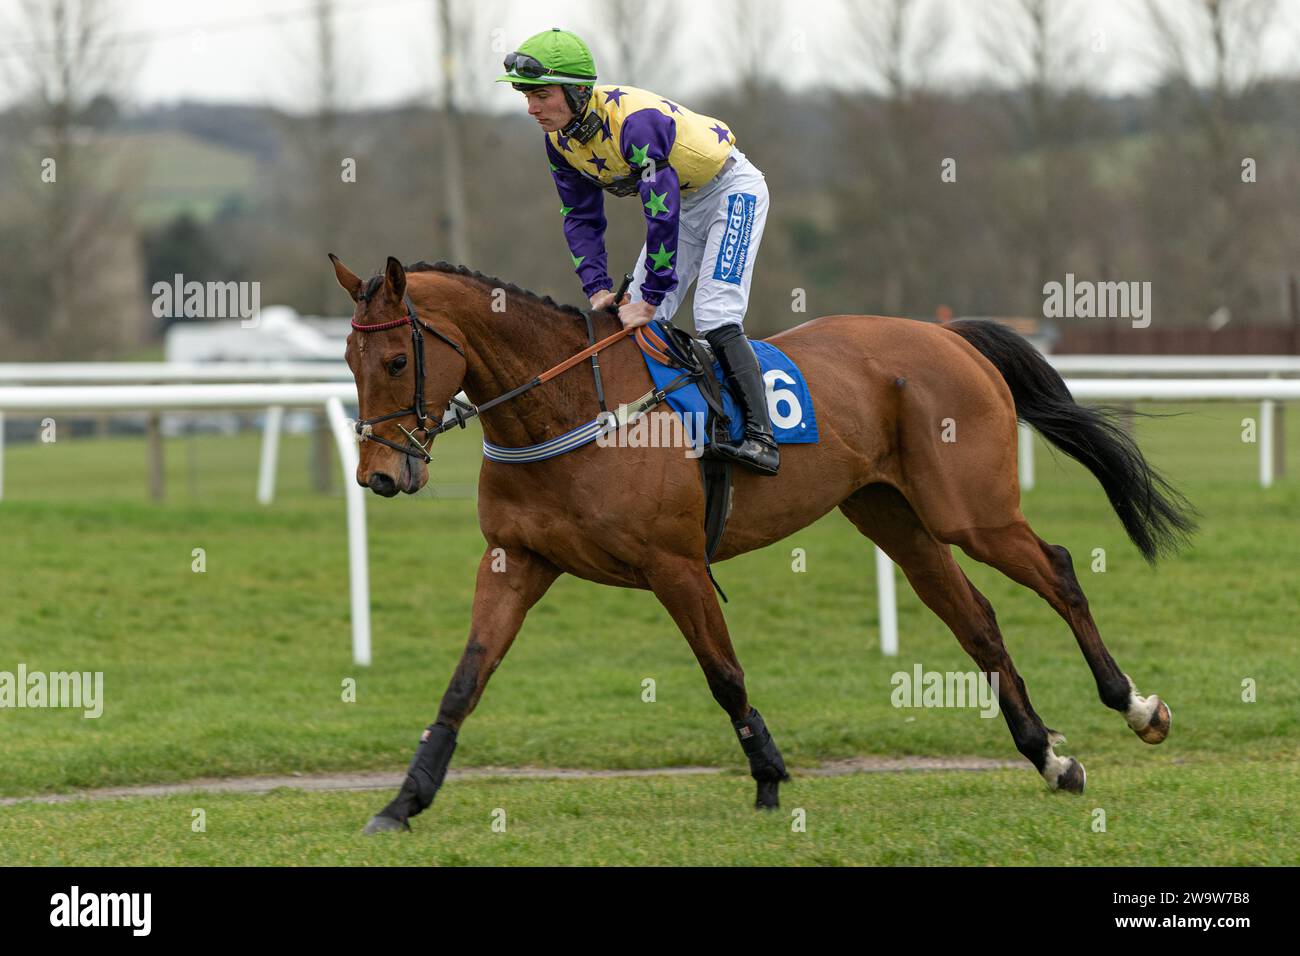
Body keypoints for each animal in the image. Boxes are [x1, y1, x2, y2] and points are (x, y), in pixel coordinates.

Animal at [330, 256, 1190, 837]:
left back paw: (1135, 705)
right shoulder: (516, 560)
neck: (571, 408)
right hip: (893, 516)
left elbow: (724, 675)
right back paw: (1049, 757)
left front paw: (770, 777)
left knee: (1058, 571)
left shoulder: (675, 565)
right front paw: (403, 801)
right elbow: (464, 682)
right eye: (348, 360)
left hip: (969, 511)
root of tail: (948, 336)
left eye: (398, 359)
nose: (378, 474)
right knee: (975, 620)